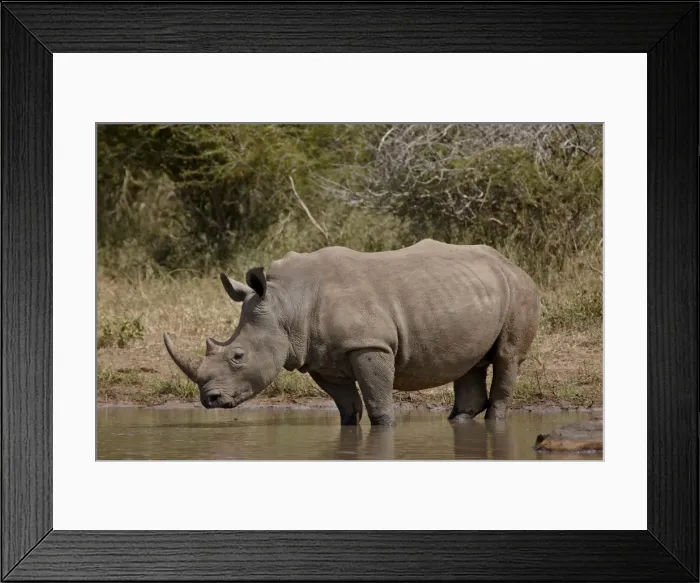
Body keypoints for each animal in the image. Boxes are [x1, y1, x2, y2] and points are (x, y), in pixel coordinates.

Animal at [164, 239, 541, 426]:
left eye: (238, 356)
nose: (210, 400)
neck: (287, 305)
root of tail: (511, 263)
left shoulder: (369, 345)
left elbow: (377, 403)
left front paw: (384, 428)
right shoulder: (318, 357)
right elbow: (347, 408)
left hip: (520, 289)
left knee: (507, 357)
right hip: (469, 290)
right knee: (469, 362)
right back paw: (460, 422)